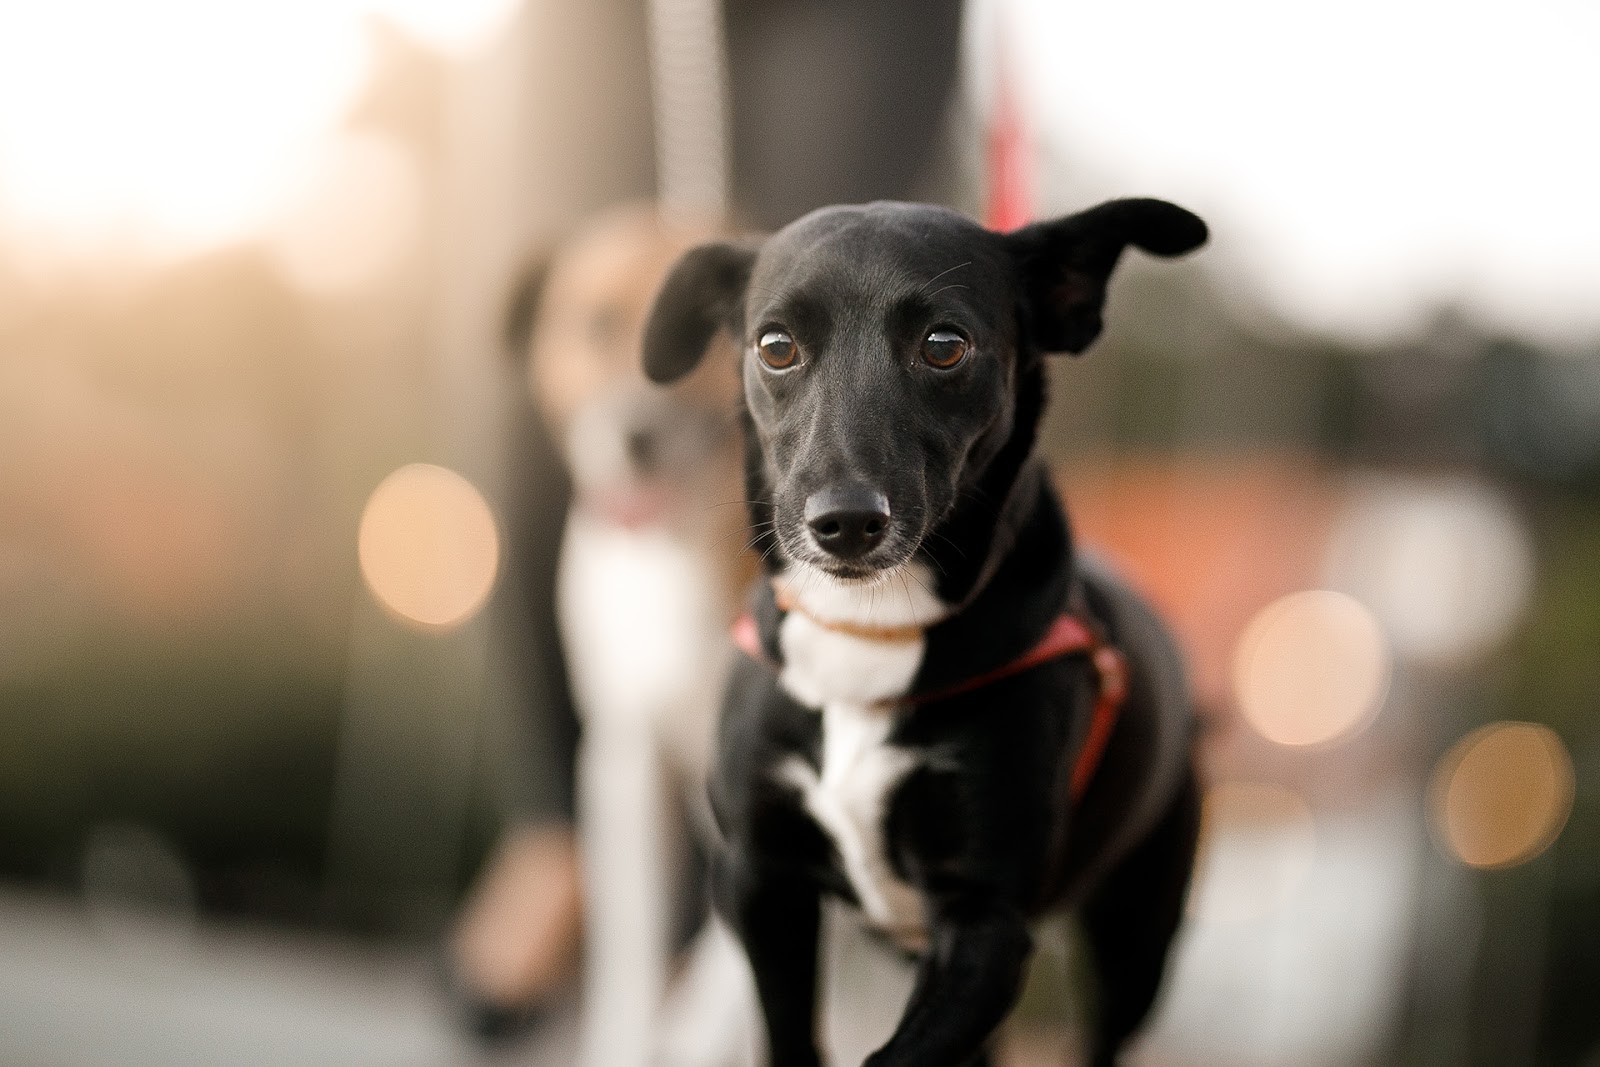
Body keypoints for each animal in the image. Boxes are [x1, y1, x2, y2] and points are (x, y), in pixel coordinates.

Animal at [643, 198, 1203, 1067]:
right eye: (775, 345)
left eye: (945, 344)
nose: (844, 522)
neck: (870, 633)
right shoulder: (761, 883)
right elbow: (790, 1037)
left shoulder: (987, 923)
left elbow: (897, 1055)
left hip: (1136, 937)